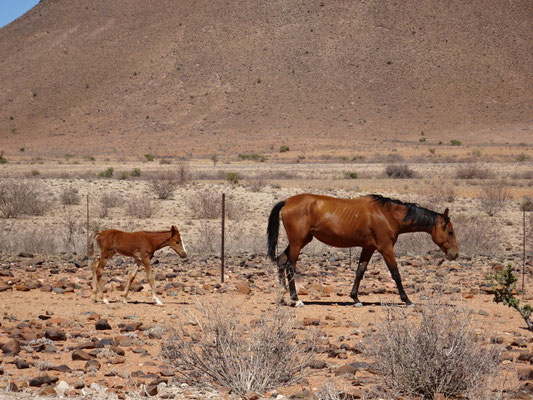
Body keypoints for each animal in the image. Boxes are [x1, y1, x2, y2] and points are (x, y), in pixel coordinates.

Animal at [268, 194, 460, 306]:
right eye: (450, 231)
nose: (455, 254)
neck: (389, 215)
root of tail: (287, 201)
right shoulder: (386, 248)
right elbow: (396, 274)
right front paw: (407, 300)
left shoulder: (368, 248)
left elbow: (360, 272)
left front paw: (355, 298)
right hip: (298, 242)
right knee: (290, 267)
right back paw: (296, 299)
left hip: (301, 241)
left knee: (281, 261)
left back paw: (282, 296)